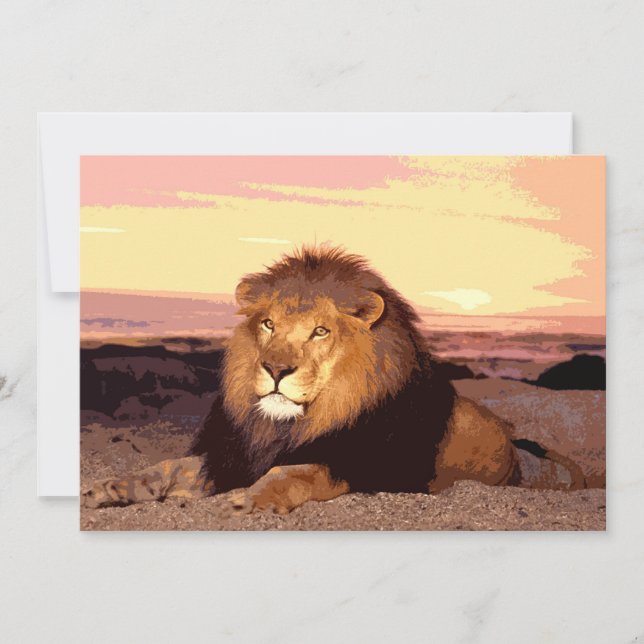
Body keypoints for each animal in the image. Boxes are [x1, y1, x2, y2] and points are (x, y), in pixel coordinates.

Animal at [82, 247, 585, 514]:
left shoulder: (362, 465)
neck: (286, 426)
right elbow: (165, 467)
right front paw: (109, 488)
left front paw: (248, 500)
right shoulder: (230, 456)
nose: (275, 370)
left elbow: (296, 471)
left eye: (320, 332)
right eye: (268, 325)